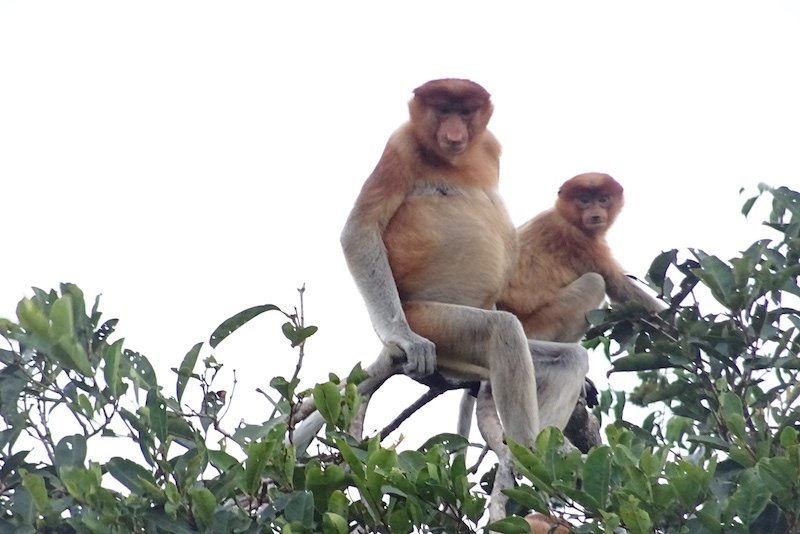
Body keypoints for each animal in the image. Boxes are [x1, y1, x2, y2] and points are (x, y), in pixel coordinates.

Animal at [340, 78, 588, 448]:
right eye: (443, 110)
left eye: (465, 112)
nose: (454, 133)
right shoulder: (400, 147)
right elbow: (359, 231)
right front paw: (404, 338)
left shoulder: (490, 144)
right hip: (429, 319)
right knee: (504, 332)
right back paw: (529, 452)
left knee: (570, 358)